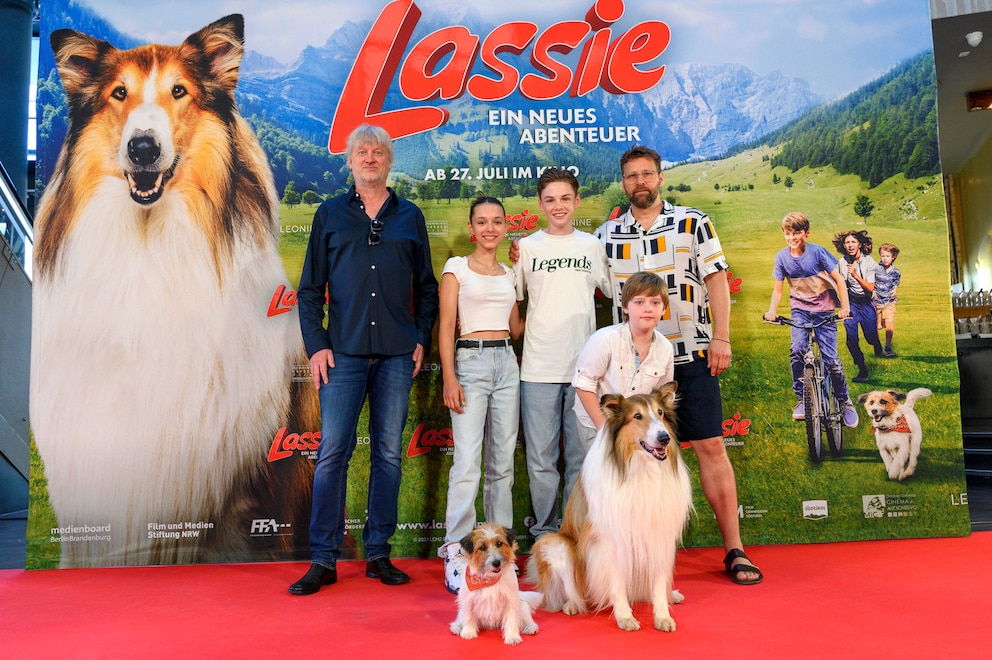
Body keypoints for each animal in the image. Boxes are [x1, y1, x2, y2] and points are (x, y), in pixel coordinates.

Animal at [528, 384, 688, 632]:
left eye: (660, 413)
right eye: (637, 416)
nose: (665, 438)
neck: (640, 470)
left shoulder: (658, 536)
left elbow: (658, 584)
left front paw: (663, 616)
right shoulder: (610, 541)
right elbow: (617, 583)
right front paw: (625, 617)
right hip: (554, 544)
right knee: (571, 589)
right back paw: (572, 605)